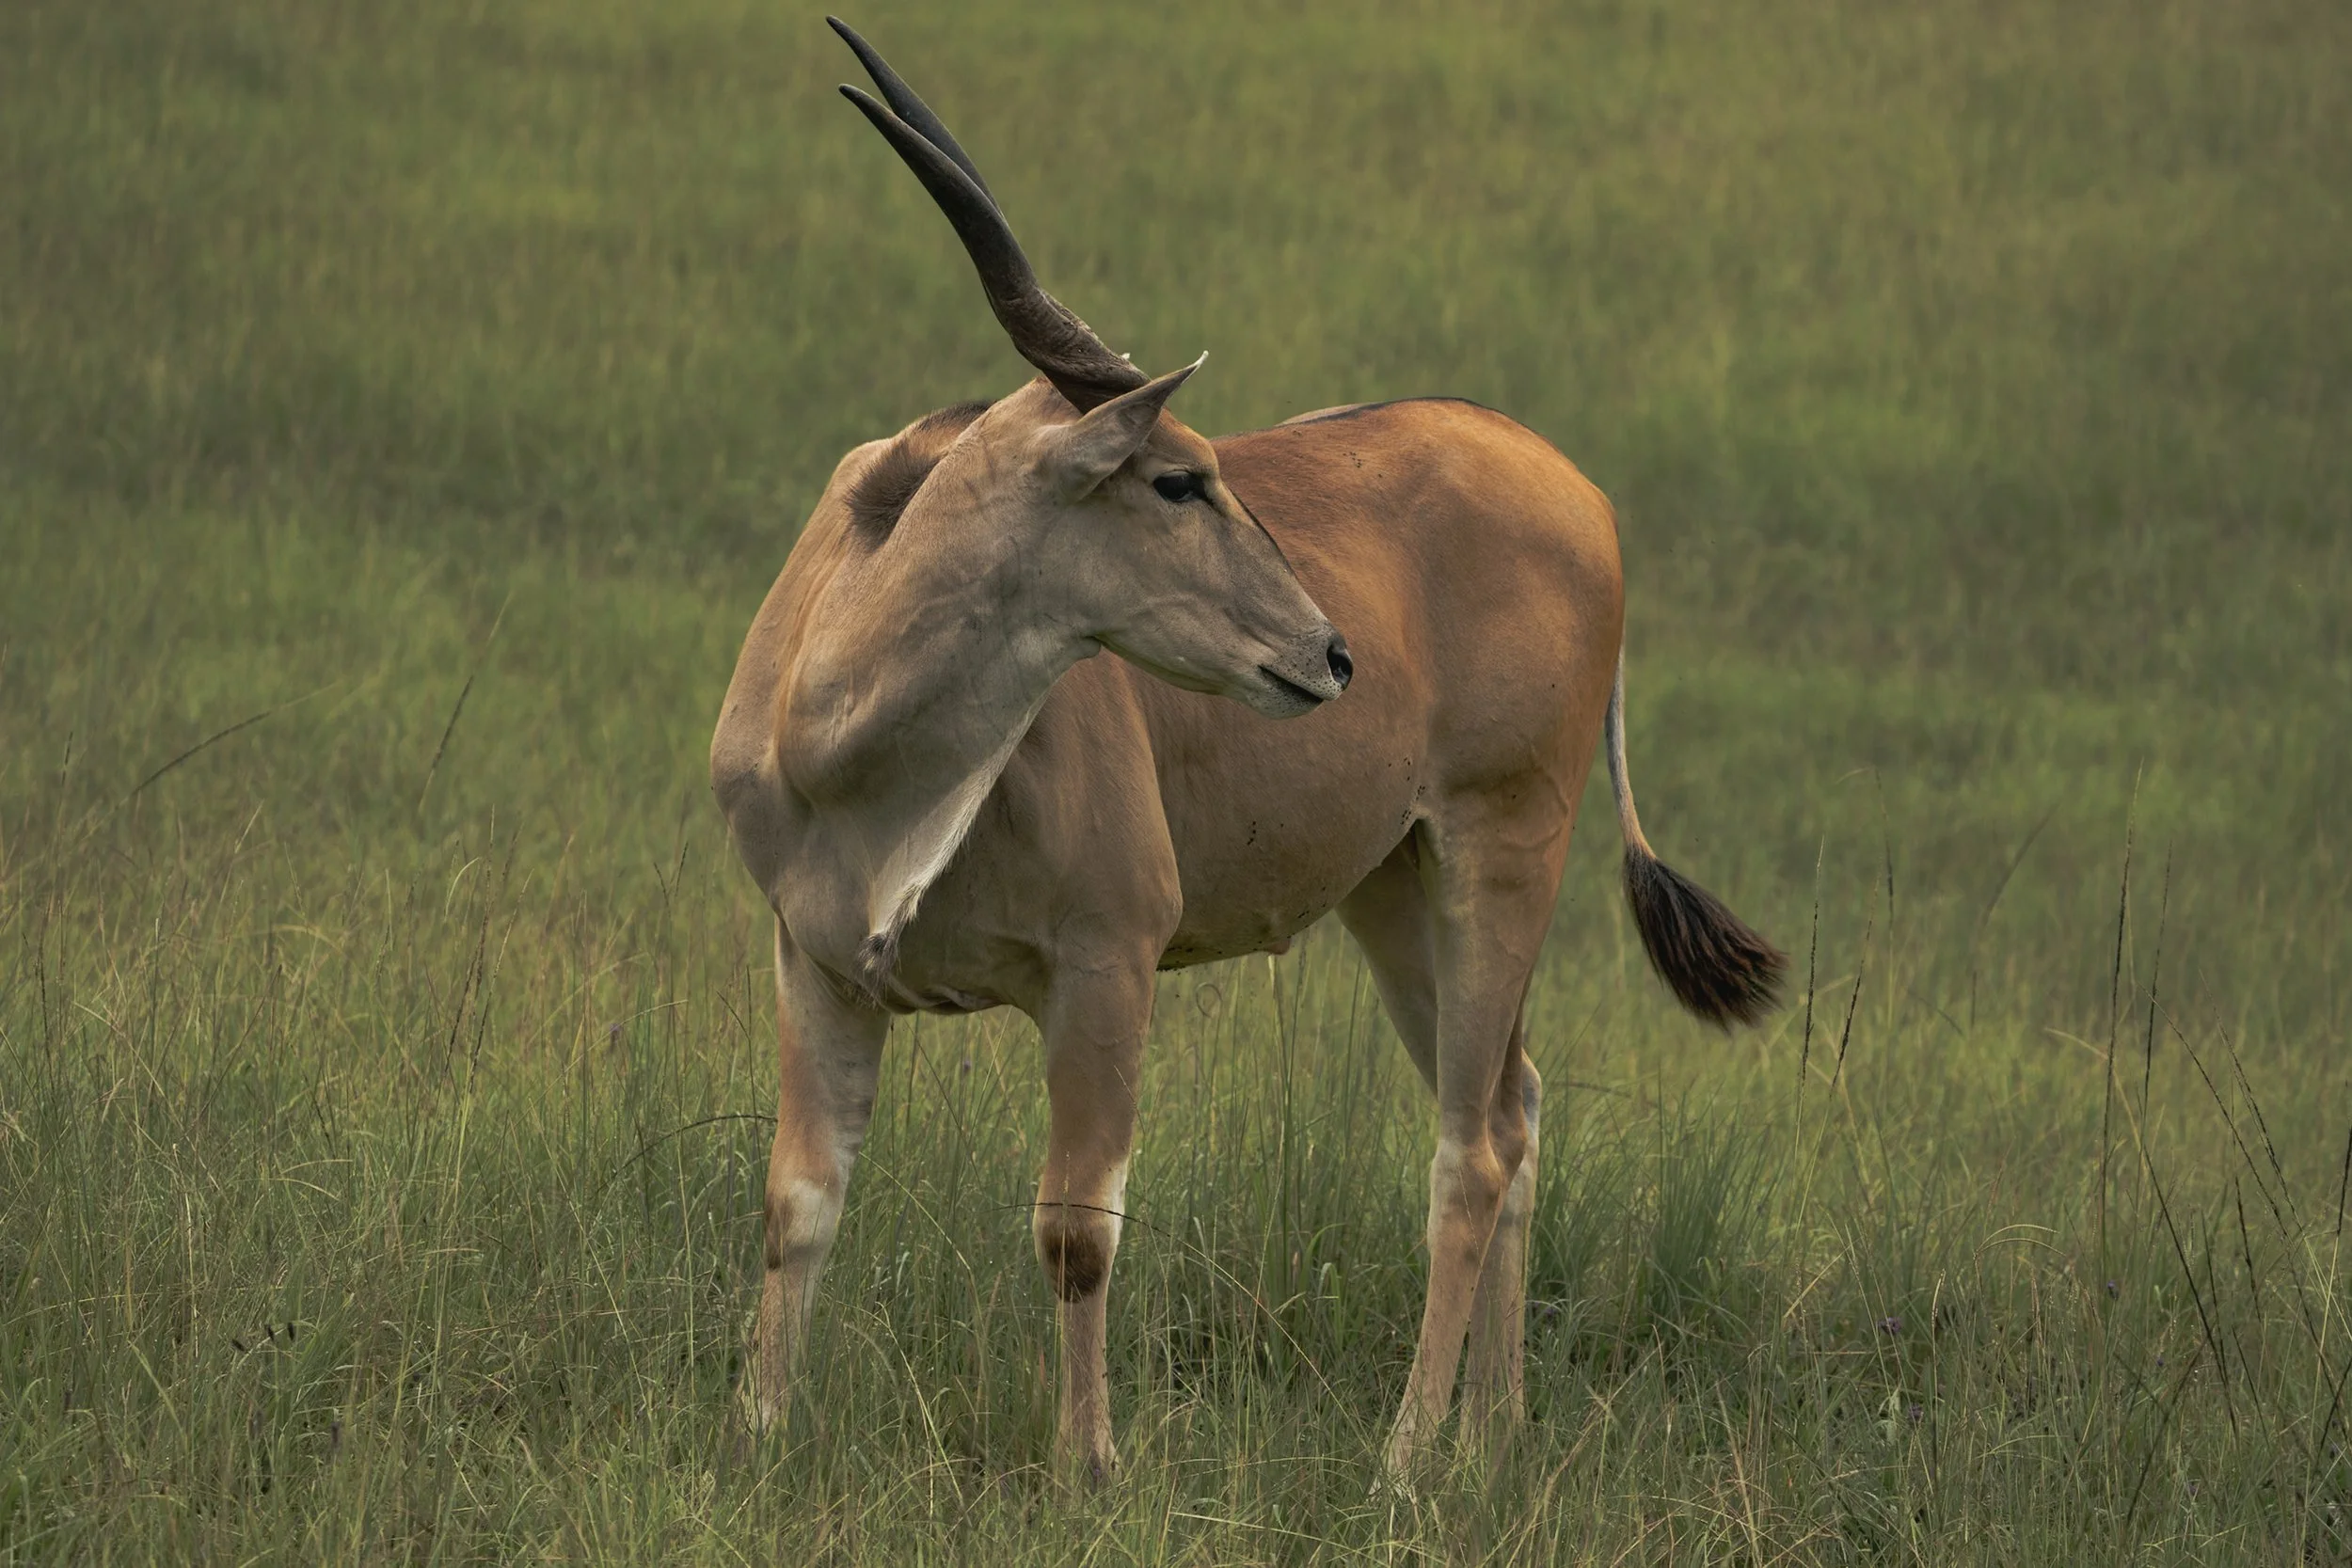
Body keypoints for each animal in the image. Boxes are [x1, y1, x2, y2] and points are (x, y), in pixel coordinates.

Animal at [710, 18, 1785, 1482]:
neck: (848, 741)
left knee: (1469, 1149)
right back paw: (1492, 1429)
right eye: (1177, 479)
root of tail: (1580, 491)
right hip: (1396, 888)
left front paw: (1089, 1464)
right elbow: (799, 1201)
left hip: (1504, 846)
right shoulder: (817, 964)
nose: (1332, 653)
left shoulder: (1108, 964)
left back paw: (1404, 1456)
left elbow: (1075, 1228)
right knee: (1511, 1106)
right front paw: (756, 1436)